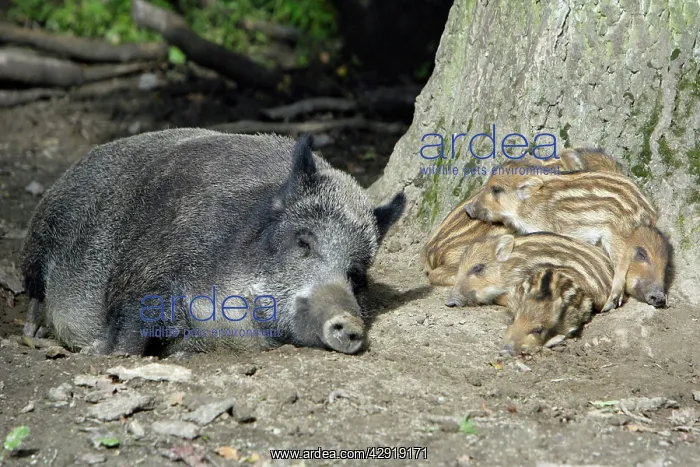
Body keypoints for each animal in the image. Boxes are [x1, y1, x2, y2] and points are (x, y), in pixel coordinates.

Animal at [20, 130, 405, 356]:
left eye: (356, 274)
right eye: (303, 241)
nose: (350, 323)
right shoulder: (145, 274)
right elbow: (129, 333)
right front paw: (104, 353)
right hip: (38, 243)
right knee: (35, 293)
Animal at [462, 170, 668, 311]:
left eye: (496, 189)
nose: (467, 208)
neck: (528, 206)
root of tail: (648, 210)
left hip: (617, 234)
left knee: (623, 262)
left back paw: (610, 303)